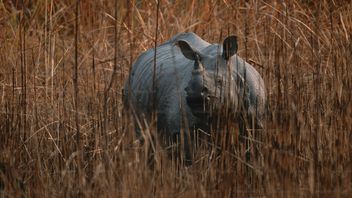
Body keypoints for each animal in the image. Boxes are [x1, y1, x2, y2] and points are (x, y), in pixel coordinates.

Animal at [125, 31, 266, 164]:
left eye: (220, 81)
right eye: (187, 86)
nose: (196, 98)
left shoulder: (255, 118)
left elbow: (251, 152)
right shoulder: (182, 128)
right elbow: (187, 157)